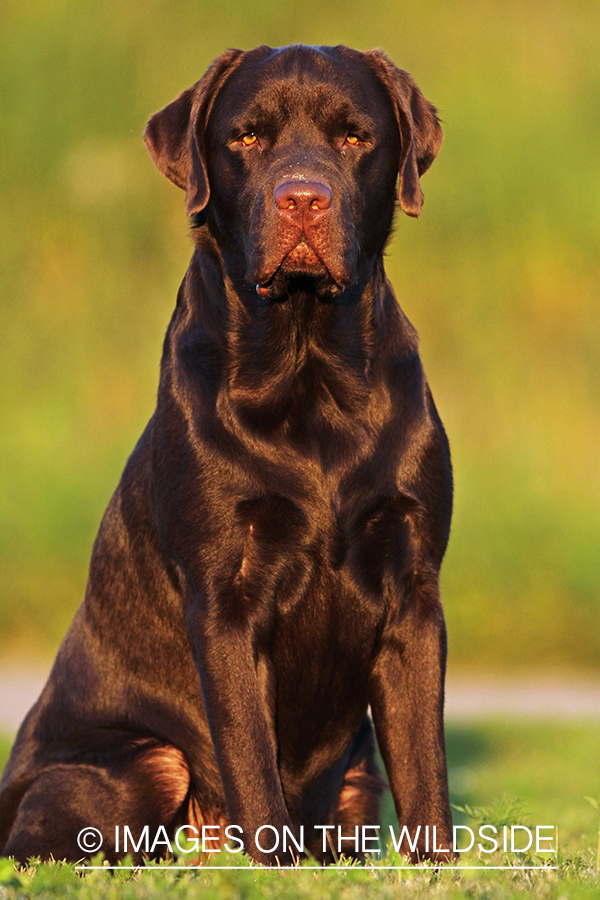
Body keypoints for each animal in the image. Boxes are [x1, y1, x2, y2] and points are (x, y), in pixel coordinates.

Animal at [0, 42, 452, 864]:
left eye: (355, 136)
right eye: (245, 137)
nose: (302, 200)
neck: (309, 369)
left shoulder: (414, 588)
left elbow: (424, 765)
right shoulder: (224, 597)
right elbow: (249, 755)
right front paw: (273, 869)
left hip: (355, 780)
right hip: (147, 759)